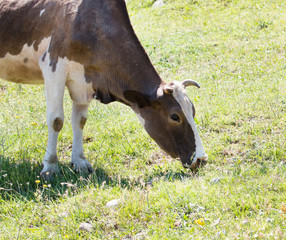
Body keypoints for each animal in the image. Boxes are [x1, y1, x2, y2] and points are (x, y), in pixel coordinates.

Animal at [0, 0, 207, 179]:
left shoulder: (85, 81)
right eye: (175, 116)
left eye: (193, 111)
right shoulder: (53, 66)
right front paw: (50, 166)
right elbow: (56, 120)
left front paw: (80, 162)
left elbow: (80, 121)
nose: (201, 159)